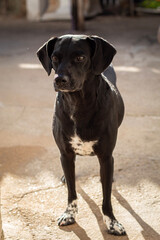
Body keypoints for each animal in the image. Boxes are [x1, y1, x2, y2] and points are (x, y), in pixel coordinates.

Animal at [37, 34, 125, 235]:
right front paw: (69, 214)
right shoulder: (66, 154)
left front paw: (112, 222)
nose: (59, 80)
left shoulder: (106, 156)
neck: (79, 104)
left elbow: (106, 196)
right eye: (54, 58)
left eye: (80, 58)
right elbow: (71, 191)